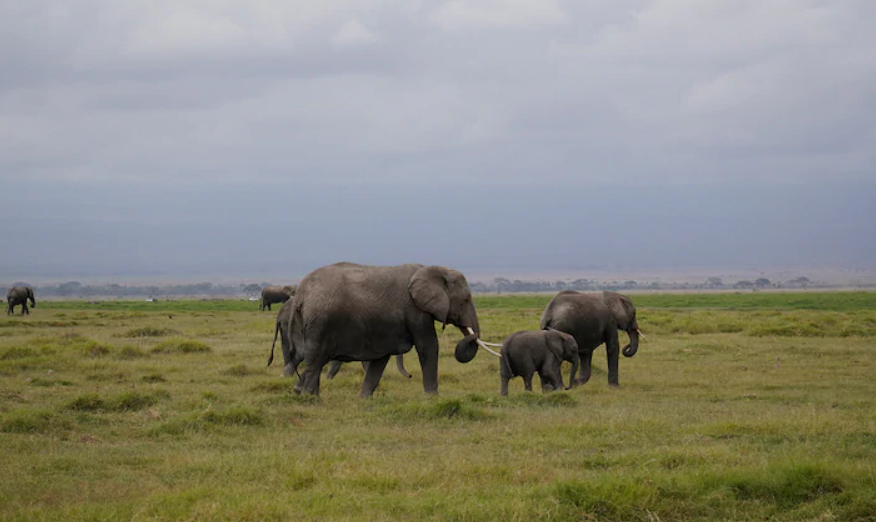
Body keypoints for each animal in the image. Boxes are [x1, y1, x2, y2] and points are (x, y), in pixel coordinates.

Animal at [290, 262, 490, 396]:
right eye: (466, 299)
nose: (410, 376)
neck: (432, 269)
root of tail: (300, 293)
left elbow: (381, 357)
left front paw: (364, 398)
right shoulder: (415, 310)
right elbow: (428, 346)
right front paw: (433, 398)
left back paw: (299, 391)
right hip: (320, 322)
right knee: (316, 359)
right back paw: (310, 398)